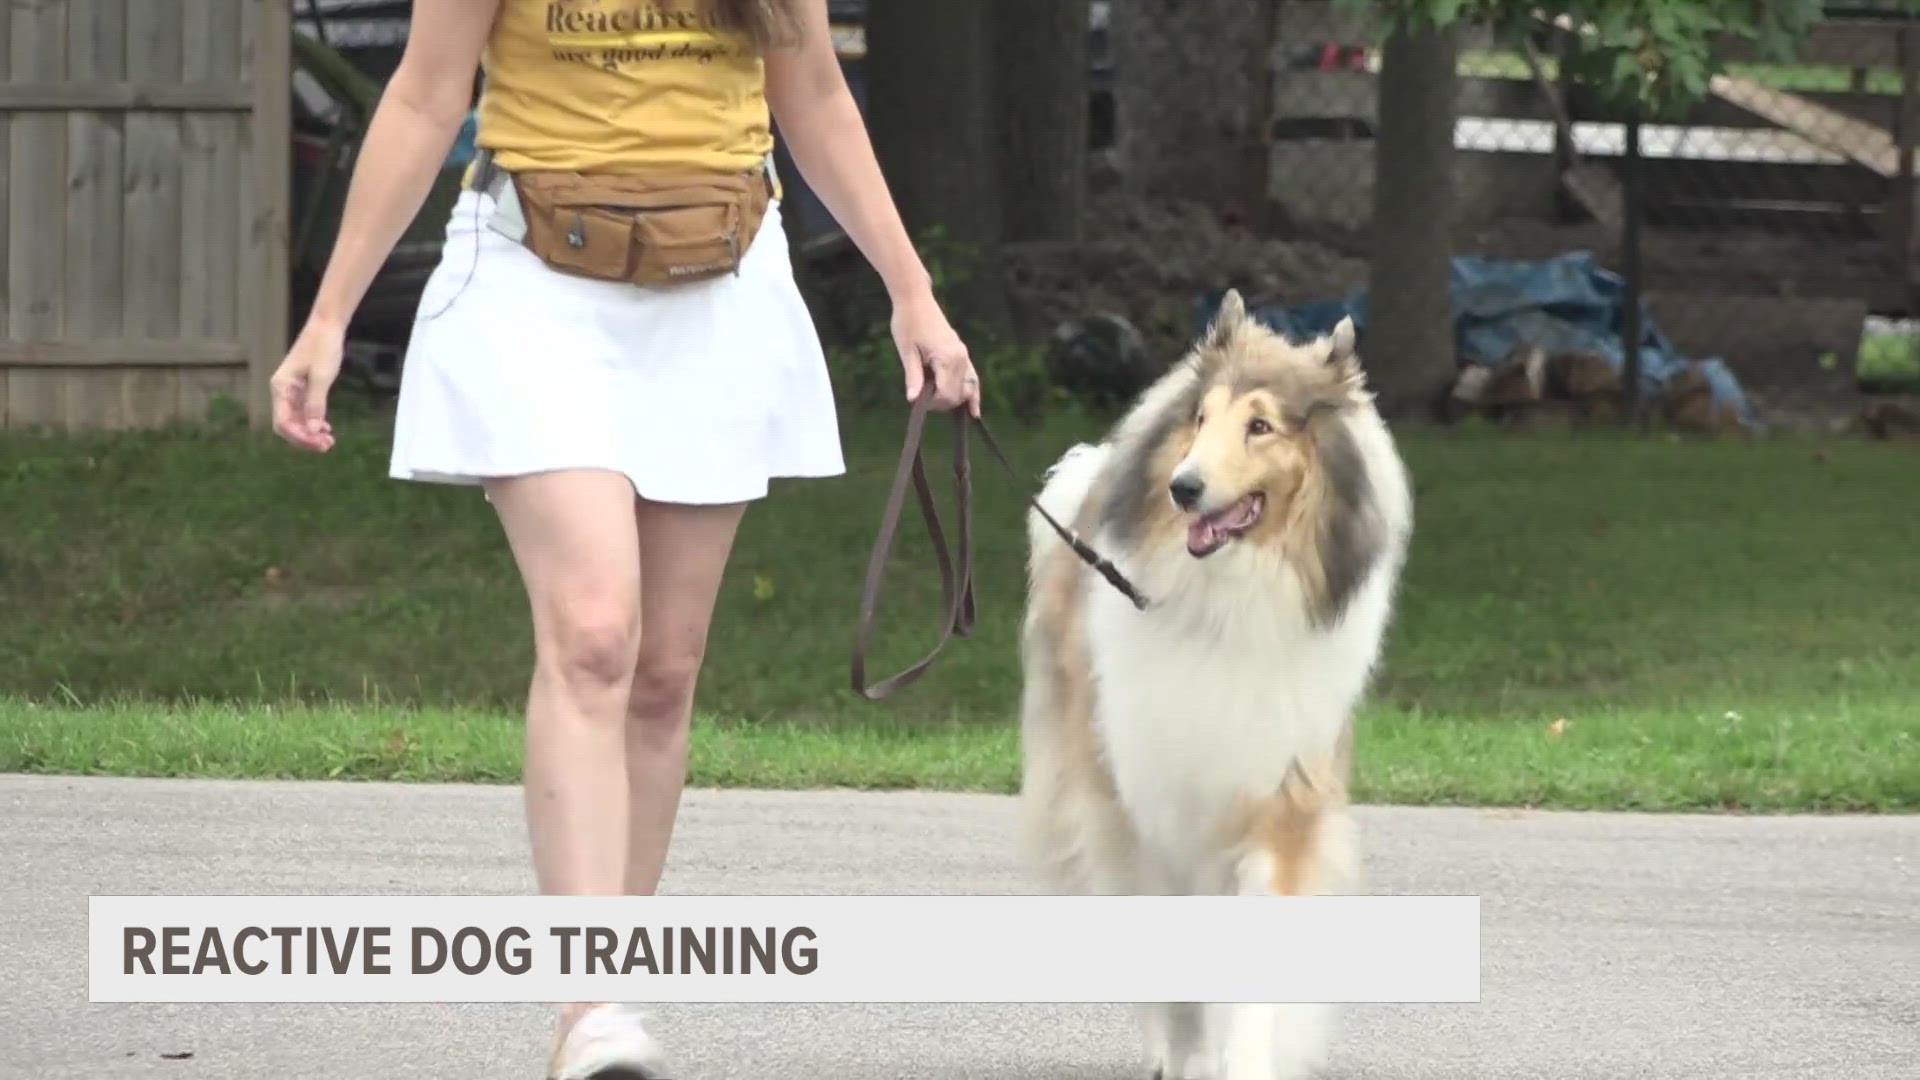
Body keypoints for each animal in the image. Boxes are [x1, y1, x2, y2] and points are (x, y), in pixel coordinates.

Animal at [1021, 288, 1413, 1076]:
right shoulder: (1149, 805)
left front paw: (1245, 1059)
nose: (1184, 489)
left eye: (1260, 425)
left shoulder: (1279, 798)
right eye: (1201, 419)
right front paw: (1185, 1054)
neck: (1232, 602)